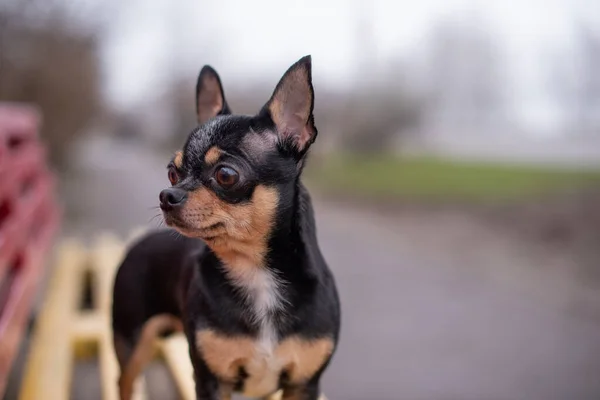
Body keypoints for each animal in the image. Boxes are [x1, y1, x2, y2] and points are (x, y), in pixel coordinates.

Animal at [110, 57, 340, 400]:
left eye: (226, 175)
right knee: (125, 381)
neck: (256, 274)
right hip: (133, 344)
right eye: (172, 173)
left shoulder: (303, 385)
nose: (167, 196)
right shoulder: (211, 382)